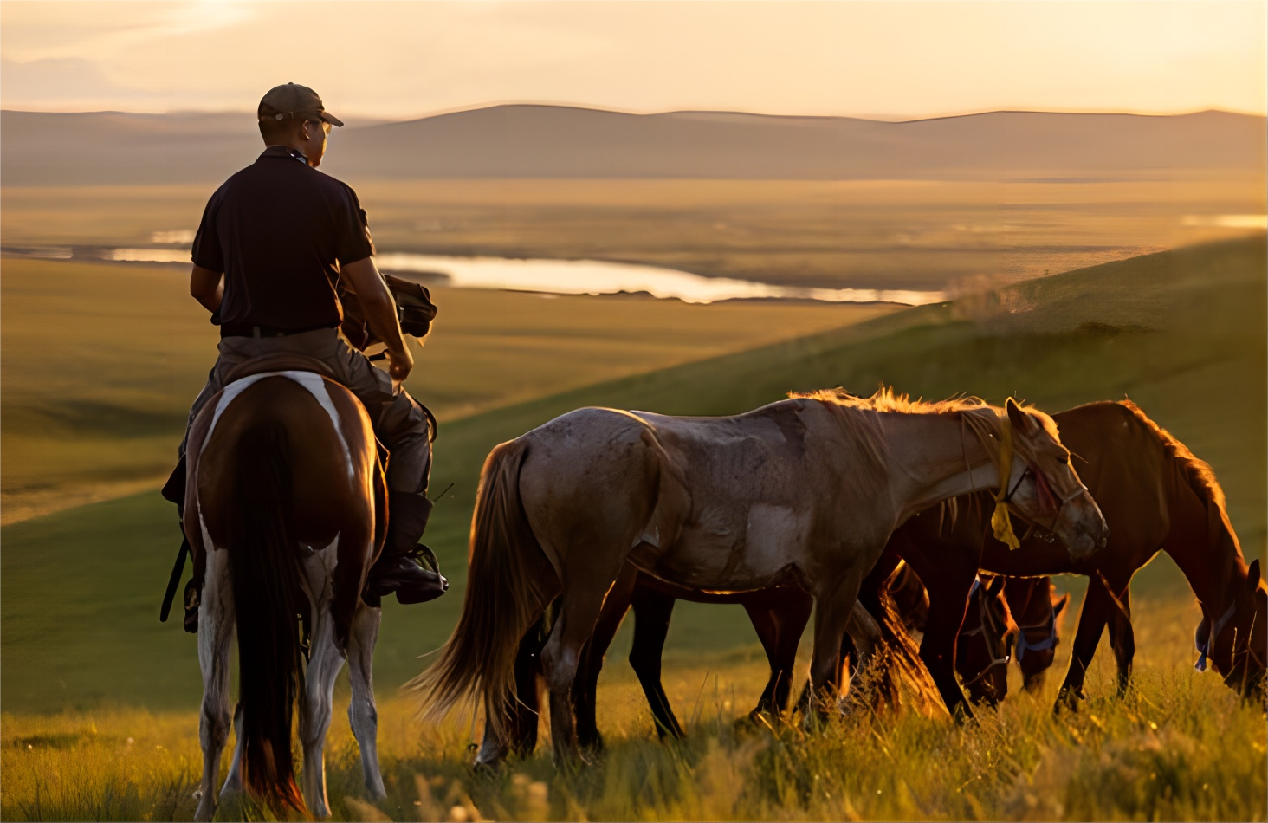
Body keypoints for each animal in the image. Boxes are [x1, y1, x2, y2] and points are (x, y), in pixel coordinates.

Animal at [183, 367, 420, 821]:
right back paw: (318, 807)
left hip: (216, 591)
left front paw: (237, 789)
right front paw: (377, 792)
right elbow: (363, 710)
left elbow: (250, 705)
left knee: (213, 710)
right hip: (336, 598)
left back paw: (207, 808)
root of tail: (266, 414)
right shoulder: (364, 607)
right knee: (314, 707)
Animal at [413, 388, 1100, 760]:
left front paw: (840, 719)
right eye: (1063, 455)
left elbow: (867, 650)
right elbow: (821, 668)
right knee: (556, 660)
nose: (1096, 527)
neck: (874, 457)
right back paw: (567, 759)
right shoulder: (836, 583)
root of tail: (528, 443)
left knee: (509, 654)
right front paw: (816, 729)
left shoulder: (826, 586)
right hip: (590, 583)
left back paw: (499, 750)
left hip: (538, 584)